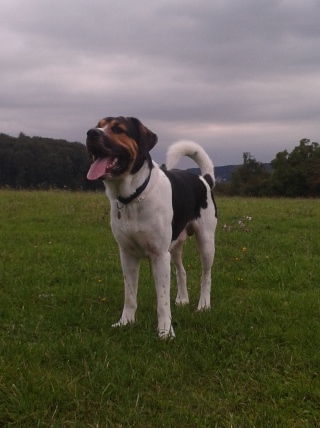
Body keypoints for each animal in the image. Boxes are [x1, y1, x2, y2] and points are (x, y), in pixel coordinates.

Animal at [85, 116, 218, 338]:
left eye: (118, 129)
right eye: (99, 125)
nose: (91, 133)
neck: (132, 196)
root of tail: (203, 179)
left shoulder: (159, 254)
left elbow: (162, 301)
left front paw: (165, 332)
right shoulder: (127, 254)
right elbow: (130, 295)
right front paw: (125, 322)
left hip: (206, 240)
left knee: (206, 275)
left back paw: (203, 305)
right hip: (175, 245)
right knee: (181, 271)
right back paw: (183, 299)